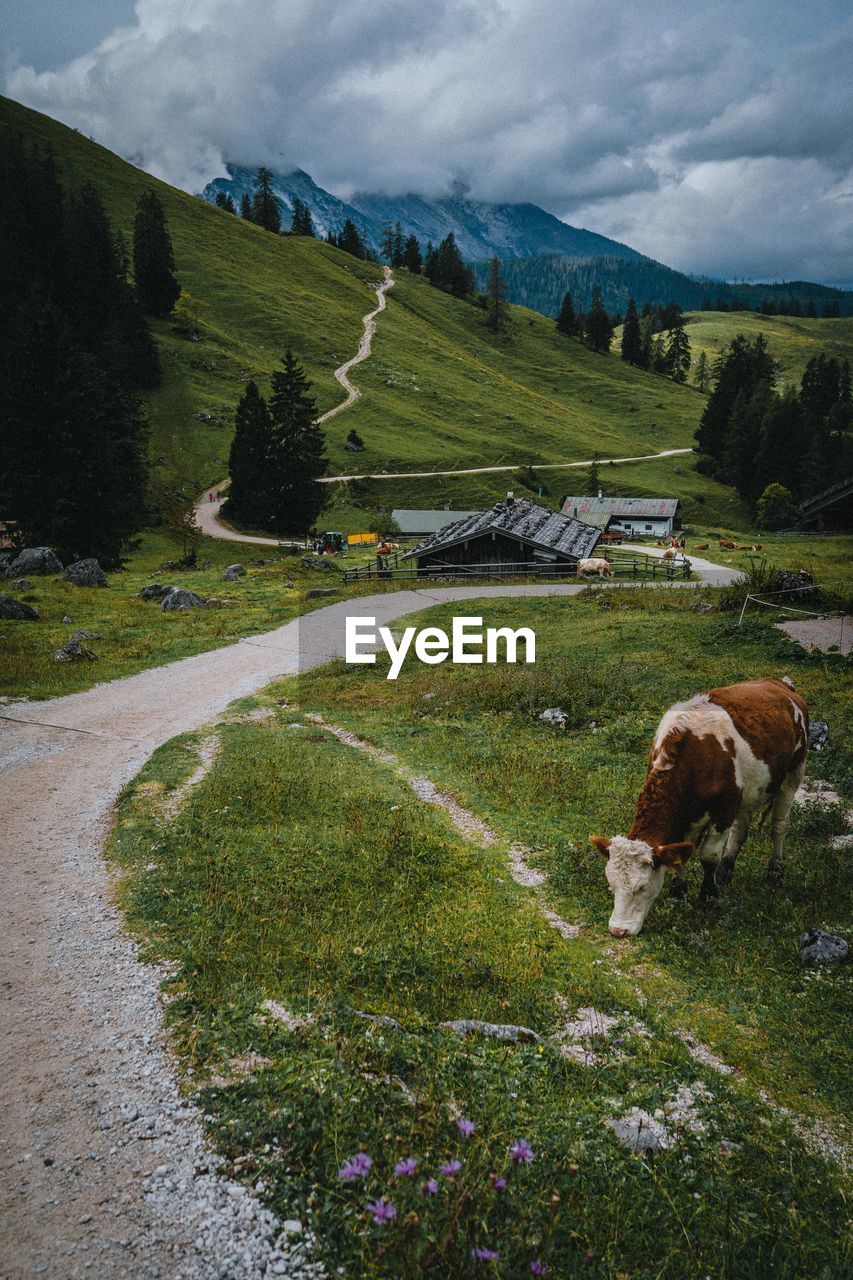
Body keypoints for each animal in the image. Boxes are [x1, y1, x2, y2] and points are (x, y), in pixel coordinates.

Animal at [589, 680, 809, 942]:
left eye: (641, 886)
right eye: (611, 883)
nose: (618, 930)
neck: (695, 752)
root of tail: (780, 683)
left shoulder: (724, 809)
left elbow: (708, 856)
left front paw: (708, 897)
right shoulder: (691, 814)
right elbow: (684, 851)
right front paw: (679, 891)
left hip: (794, 773)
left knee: (779, 826)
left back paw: (775, 872)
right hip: (749, 791)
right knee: (740, 830)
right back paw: (726, 872)